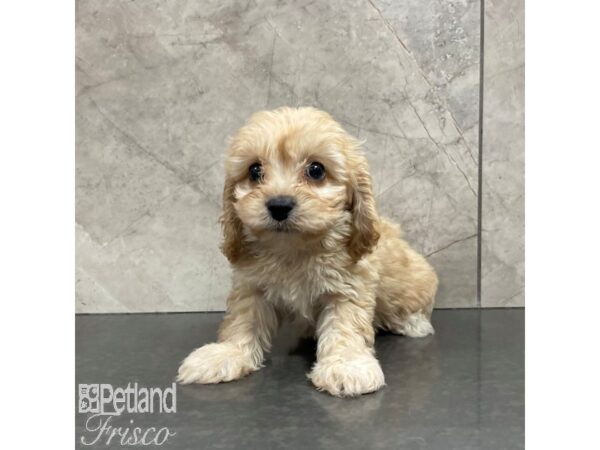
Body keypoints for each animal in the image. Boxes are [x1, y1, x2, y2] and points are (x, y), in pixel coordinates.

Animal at [176, 107, 438, 396]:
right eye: (254, 170)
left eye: (316, 170)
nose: (279, 205)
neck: (295, 248)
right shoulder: (251, 286)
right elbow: (242, 320)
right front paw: (225, 354)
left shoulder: (348, 288)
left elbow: (345, 325)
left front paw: (346, 365)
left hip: (412, 282)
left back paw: (413, 323)